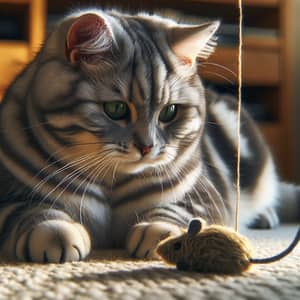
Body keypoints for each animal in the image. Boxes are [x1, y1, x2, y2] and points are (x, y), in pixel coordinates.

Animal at [0, 9, 298, 262]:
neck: (112, 182)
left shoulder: (204, 196)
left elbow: (178, 212)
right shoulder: (10, 195)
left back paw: (265, 215)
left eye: (170, 112)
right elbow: (31, 210)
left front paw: (157, 231)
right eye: (116, 109)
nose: (147, 147)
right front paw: (54, 230)